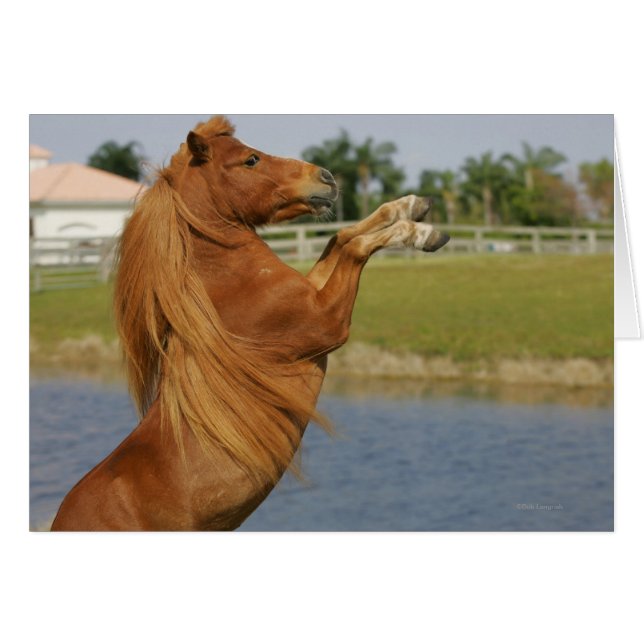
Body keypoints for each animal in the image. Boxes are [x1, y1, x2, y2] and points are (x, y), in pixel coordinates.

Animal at [50, 116, 449, 531]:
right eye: (251, 160)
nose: (326, 177)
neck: (232, 285)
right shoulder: (328, 321)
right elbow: (354, 246)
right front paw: (422, 233)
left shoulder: (313, 292)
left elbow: (340, 236)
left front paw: (412, 206)